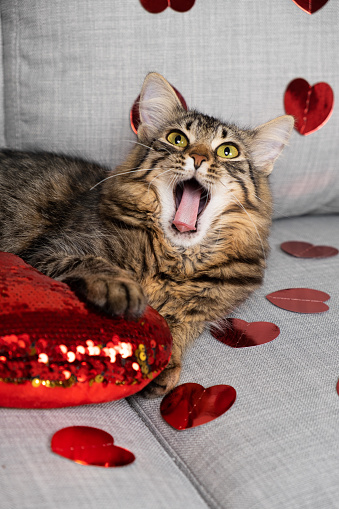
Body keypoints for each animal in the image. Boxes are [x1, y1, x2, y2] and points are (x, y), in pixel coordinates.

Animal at [0, 72, 294, 396]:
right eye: (178, 139)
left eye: (227, 151)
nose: (198, 158)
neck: (175, 260)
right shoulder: (50, 249)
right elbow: (93, 262)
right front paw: (121, 287)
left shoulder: (207, 305)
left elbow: (180, 322)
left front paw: (168, 358)